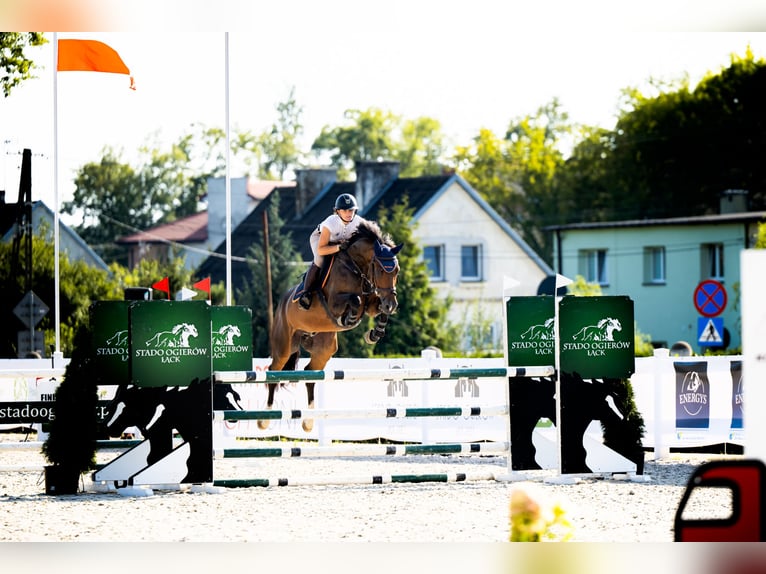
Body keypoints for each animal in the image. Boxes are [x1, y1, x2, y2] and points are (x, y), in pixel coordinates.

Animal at [263, 220, 403, 432]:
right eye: (380, 270)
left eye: (396, 271)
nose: (392, 305)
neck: (357, 268)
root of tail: (282, 303)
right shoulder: (334, 303)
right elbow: (354, 300)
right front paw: (349, 320)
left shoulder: (372, 303)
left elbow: (377, 309)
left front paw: (374, 334)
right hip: (284, 346)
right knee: (273, 371)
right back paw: (264, 419)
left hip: (324, 348)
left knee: (309, 373)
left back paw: (308, 421)